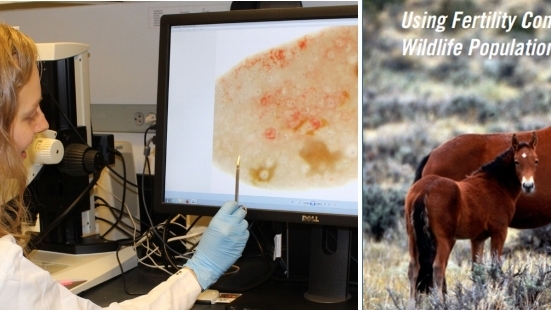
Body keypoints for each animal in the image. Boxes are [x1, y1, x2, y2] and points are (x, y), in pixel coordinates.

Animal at [406, 132, 540, 308]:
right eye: (517, 161)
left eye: (536, 161)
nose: (528, 186)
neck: (494, 184)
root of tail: (424, 190)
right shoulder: (500, 232)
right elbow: (495, 267)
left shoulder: (478, 238)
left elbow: (477, 270)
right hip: (444, 240)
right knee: (438, 268)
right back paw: (440, 303)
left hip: (412, 238)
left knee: (414, 268)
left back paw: (411, 304)